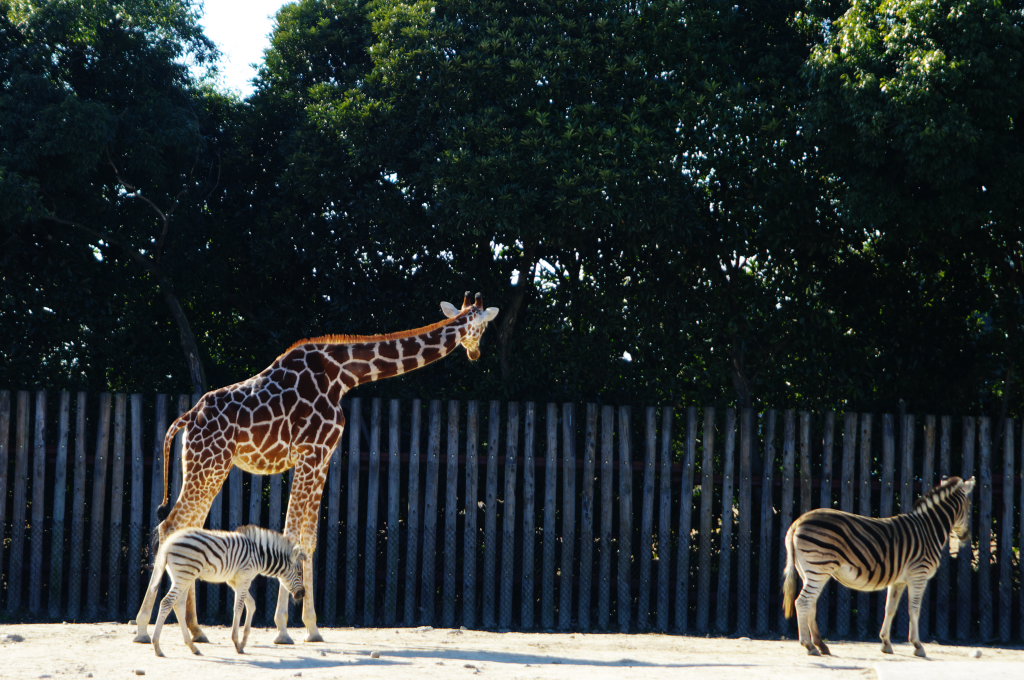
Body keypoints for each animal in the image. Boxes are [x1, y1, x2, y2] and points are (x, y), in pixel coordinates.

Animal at [132, 290, 499, 643]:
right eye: (482, 328)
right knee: (170, 526)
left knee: (186, 527)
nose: (476, 353)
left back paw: (195, 629)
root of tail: (186, 419)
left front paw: (311, 627)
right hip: (209, 463)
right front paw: (282, 629)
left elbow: (309, 540)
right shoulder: (310, 453)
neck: (344, 374)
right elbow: (292, 534)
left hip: (205, 466)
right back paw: (143, 627)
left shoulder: (323, 457)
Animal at [144, 524, 305, 659]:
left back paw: (192, 647)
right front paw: (237, 643)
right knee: (167, 602)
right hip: (184, 575)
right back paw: (157, 646)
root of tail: (168, 543)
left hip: (182, 577)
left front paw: (243, 642)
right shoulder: (244, 578)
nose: (302, 594)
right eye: (299, 573)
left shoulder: (234, 580)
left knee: (178, 605)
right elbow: (238, 608)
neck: (260, 555)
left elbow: (251, 604)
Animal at [782, 475, 974, 655]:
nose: (966, 537)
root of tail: (798, 521)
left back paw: (821, 645)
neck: (928, 530)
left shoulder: (899, 581)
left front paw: (885, 643)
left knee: (811, 604)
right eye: (969, 507)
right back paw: (809, 646)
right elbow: (914, 610)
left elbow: (890, 609)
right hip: (818, 568)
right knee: (803, 602)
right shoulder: (918, 575)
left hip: (808, 571)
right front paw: (917, 645)